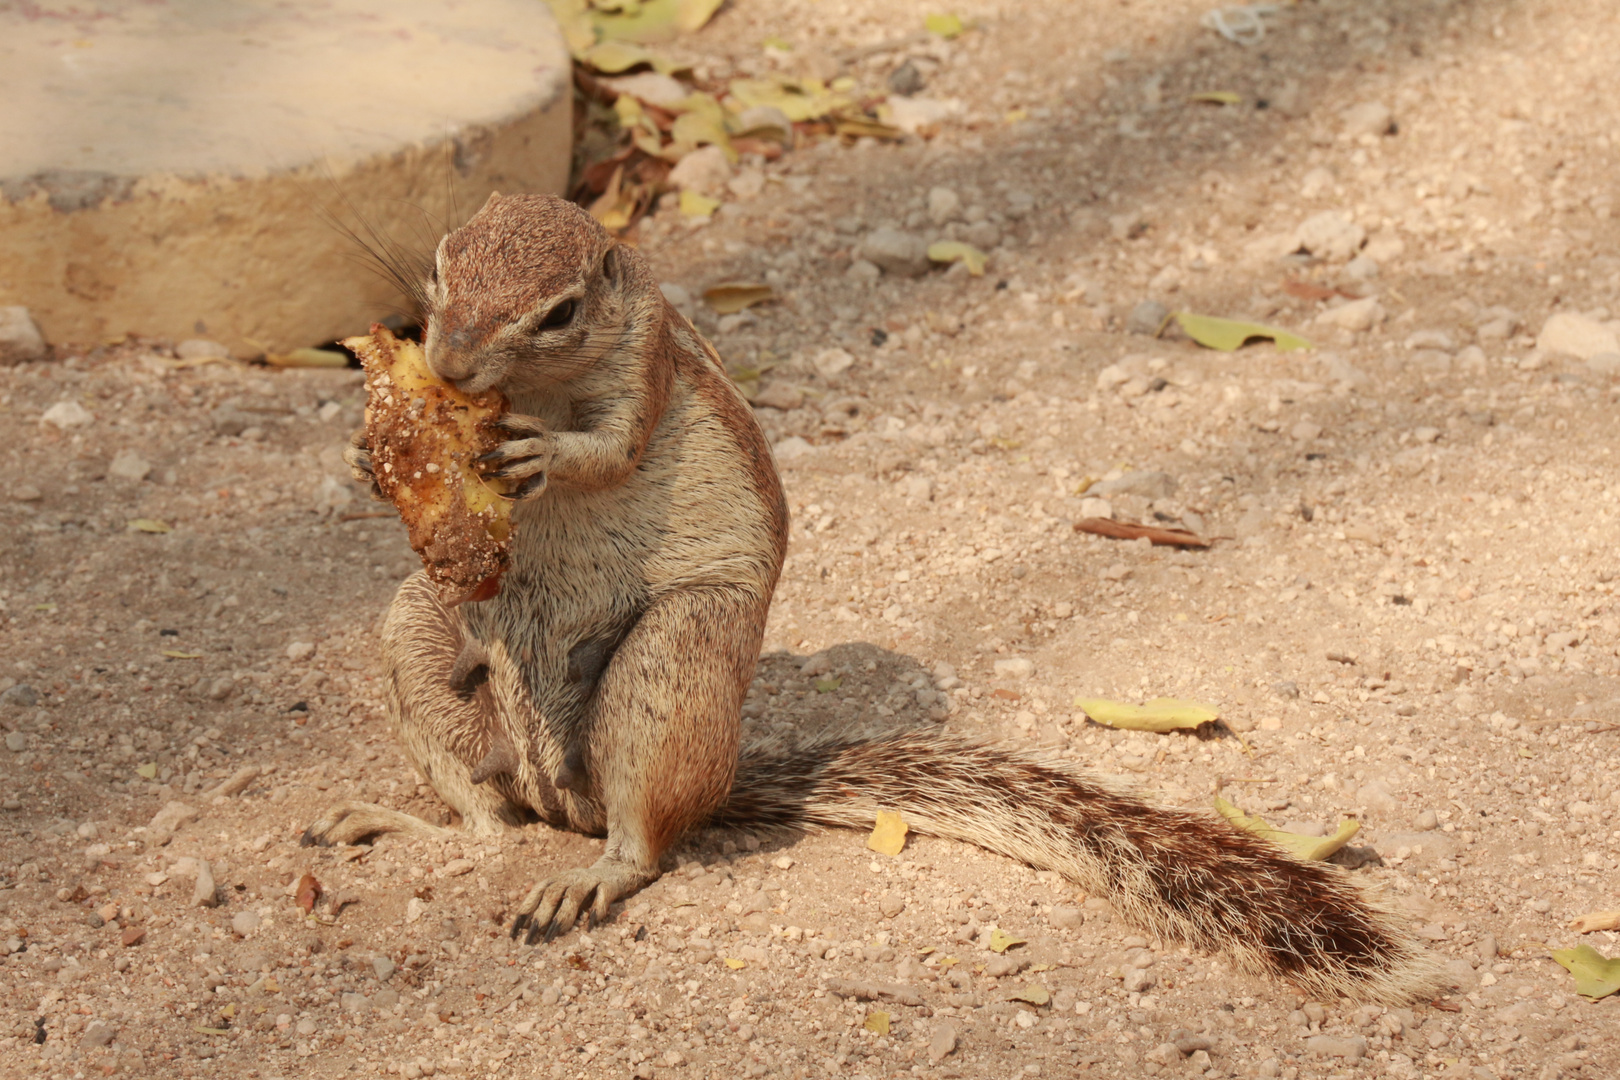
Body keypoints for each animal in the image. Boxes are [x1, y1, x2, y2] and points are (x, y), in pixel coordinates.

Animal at [304, 191, 1445, 1003]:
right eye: (442, 262)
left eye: (561, 311)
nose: (447, 359)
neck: (528, 391)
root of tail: (567, 798)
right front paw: (367, 454)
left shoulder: (646, 368)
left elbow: (610, 446)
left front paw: (543, 453)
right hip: (419, 633)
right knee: (486, 817)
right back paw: (403, 826)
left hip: (676, 659)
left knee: (642, 840)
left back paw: (597, 870)